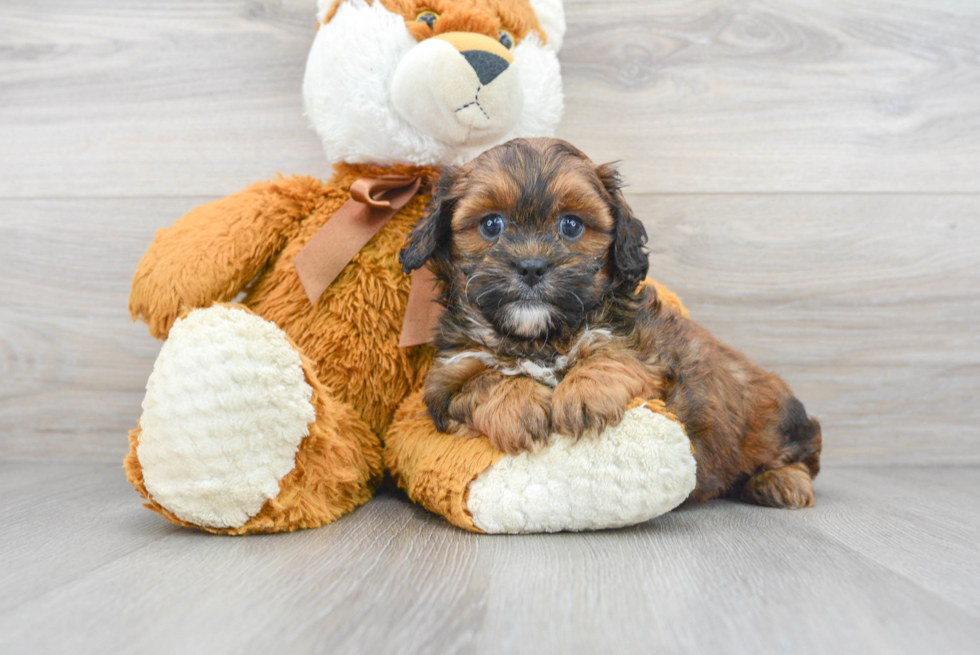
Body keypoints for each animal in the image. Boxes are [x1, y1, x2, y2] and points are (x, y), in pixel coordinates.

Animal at [398, 137, 820, 508]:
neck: (539, 337)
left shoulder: (646, 348)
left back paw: (781, 482)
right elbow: (485, 379)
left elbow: (611, 355)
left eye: (571, 226)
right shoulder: (449, 378)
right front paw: (518, 406)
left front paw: (583, 394)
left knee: (801, 453)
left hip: (772, 423)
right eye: (491, 225)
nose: (531, 267)